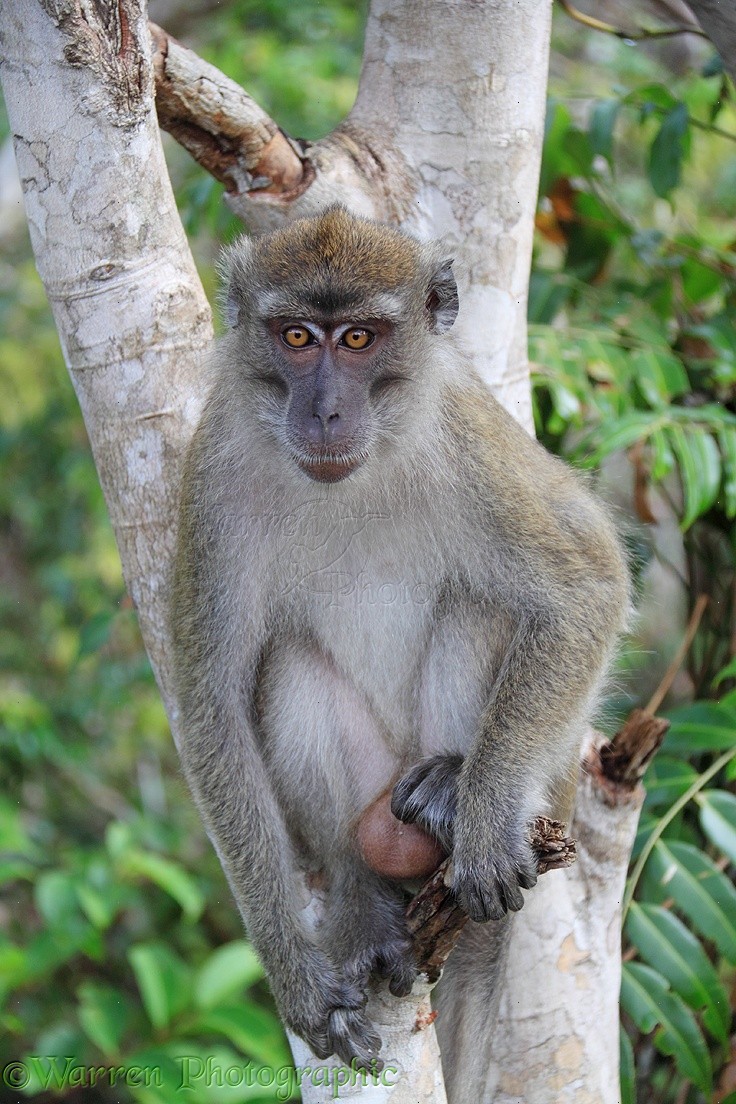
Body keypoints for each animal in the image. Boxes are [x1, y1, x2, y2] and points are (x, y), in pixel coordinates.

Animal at [170, 205, 629, 1095]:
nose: (324, 411)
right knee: (291, 667)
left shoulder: (469, 436)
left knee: (483, 605)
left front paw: (483, 819)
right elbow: (211, 704)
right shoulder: (212, 470)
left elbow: (586, 586)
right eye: (296, 336)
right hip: (371, 788)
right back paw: (360, 893)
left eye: (358, 340)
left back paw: (456, 789)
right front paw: (294, 973)